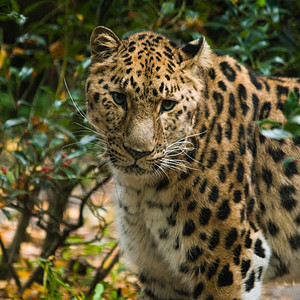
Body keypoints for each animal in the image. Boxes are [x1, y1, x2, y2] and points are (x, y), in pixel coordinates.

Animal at [84, 26, 300, 300]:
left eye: (168, 105)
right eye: (119, 98)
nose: (138, 152)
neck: (142, 190)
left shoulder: (232, 259)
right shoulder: (159, 273)